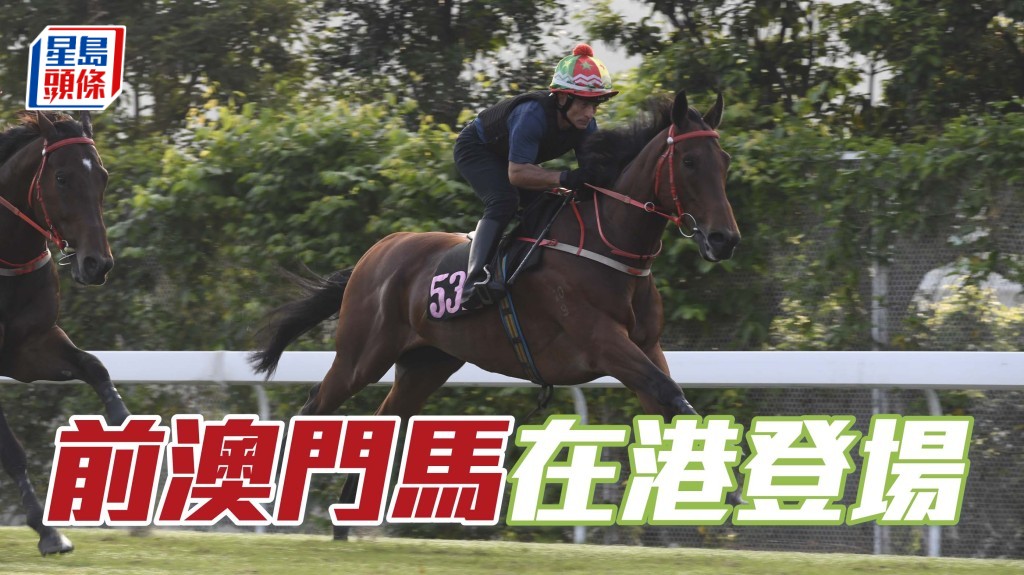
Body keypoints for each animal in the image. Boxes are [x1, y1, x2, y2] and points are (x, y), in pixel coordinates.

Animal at [0, 111, 130, 555]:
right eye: (61, 177)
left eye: (103, 176)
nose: (97, 264)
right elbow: (12, 451)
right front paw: (48, 530)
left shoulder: (28, 349)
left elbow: (95, 368)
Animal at [251, 90, 739, 537]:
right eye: (689, 162)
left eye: (725, 161)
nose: (724, 239)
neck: (609, 249)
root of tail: (375, 253)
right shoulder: (603, 343)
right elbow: (671, 393)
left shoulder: (646, 348)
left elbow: (669, 403)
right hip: (362, 356)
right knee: (315, 403)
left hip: (427, 363)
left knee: (385, 420)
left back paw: (343, 525)